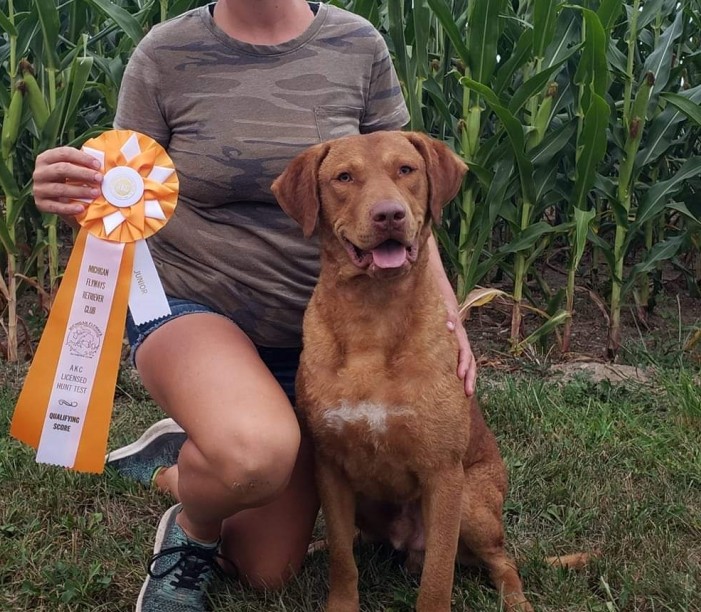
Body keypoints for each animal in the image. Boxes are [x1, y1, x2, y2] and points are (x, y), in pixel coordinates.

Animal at [272, 131, 532, 612]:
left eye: (406, 170)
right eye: (344, 177)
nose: (389, 214)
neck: (374, 317)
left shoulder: (443, 475)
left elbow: (438, 576)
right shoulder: (330, 467)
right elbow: (342, 558)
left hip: (473, 504)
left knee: (502, 560)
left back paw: (517, 600)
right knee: (357, 541)